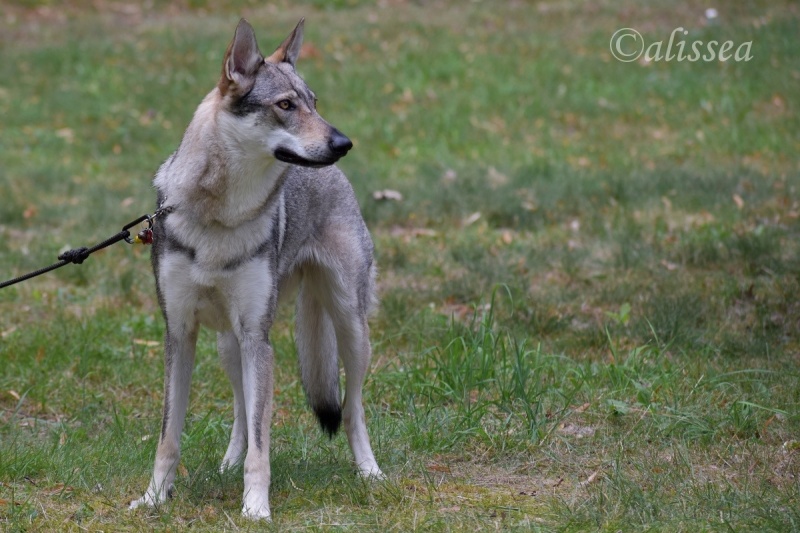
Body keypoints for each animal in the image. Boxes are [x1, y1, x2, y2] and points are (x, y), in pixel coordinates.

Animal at [127, 17, 382, 520]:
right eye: (285, 105)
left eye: (313, 103)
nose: (343, 143)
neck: (219, 217)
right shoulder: (180, 334)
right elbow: (169, 438)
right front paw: (153, 498)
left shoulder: (257, 339)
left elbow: (263, 447)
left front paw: (256, 509)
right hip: (231, 345)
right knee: (243, 413)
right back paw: (227, 462)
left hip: (348, 327)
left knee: (352, 409)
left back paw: (369, 471)